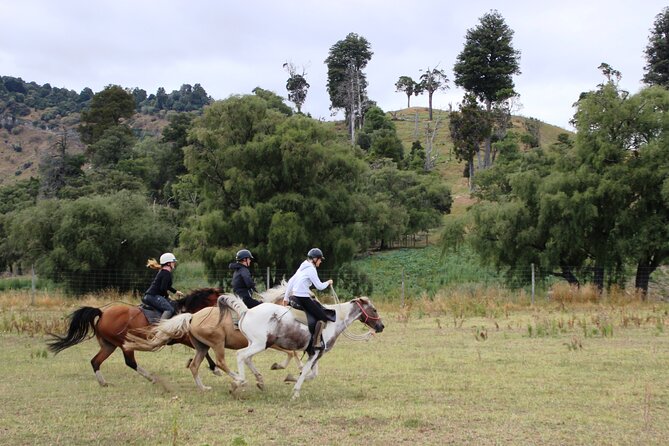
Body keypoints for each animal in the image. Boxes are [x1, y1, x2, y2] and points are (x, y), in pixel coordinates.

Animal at [50, 290, 222, 386]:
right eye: (220, 298)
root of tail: (103, 313)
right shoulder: (186, 339)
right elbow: (205, 352)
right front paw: (215, 369)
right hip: (125, 344)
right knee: (130, 362)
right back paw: (152, 378)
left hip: (109, 345)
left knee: (95, 361)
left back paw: (103, 383)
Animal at [220, 294, 380, 398]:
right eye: (374, 309)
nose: (381, 326)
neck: (335, 321)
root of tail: (247, 311)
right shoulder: (316, 353)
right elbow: (305, 372)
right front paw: (296, 392)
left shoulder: (315, 353)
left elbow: (311, 374)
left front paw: (290, 378)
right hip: (260, 344)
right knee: (241, 355)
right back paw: (239, 382)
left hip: (255, 344)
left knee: (247, 358)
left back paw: (259, 381)